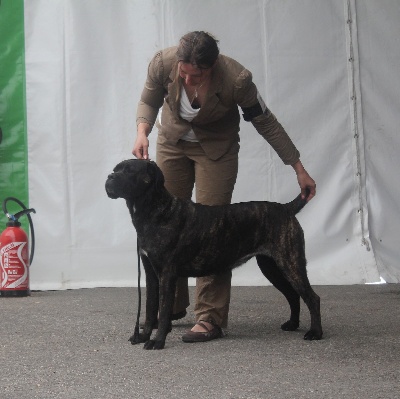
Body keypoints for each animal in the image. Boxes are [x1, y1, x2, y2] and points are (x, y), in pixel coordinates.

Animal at [105, 159, 322, 350]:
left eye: (130, 171)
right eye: (116, 169)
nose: (110, 176)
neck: (153, 210)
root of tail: (285, 208)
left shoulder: (167, 275)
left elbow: (164, 310)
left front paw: (158, 342)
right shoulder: (151, 274)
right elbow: (150, 309)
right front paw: (142, 336)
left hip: (290, 263)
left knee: (312, 298)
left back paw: (315, 332)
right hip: (271, 267)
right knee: (293, 295)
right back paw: (292, 324)